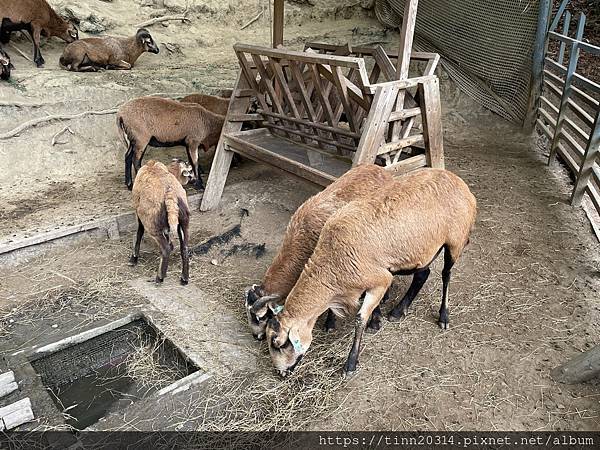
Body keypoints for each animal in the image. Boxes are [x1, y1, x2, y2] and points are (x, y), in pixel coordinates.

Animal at [264, 169, 476, 376]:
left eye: (279, 344)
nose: (281, 373)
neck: (331, 263)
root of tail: (459, 182)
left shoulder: (381, 280)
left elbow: (360, 319)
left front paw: (351, 363)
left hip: (455, 241)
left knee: (446, 274)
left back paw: (443, 316)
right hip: (422, 249)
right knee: (423, 274)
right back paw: (398, 311)